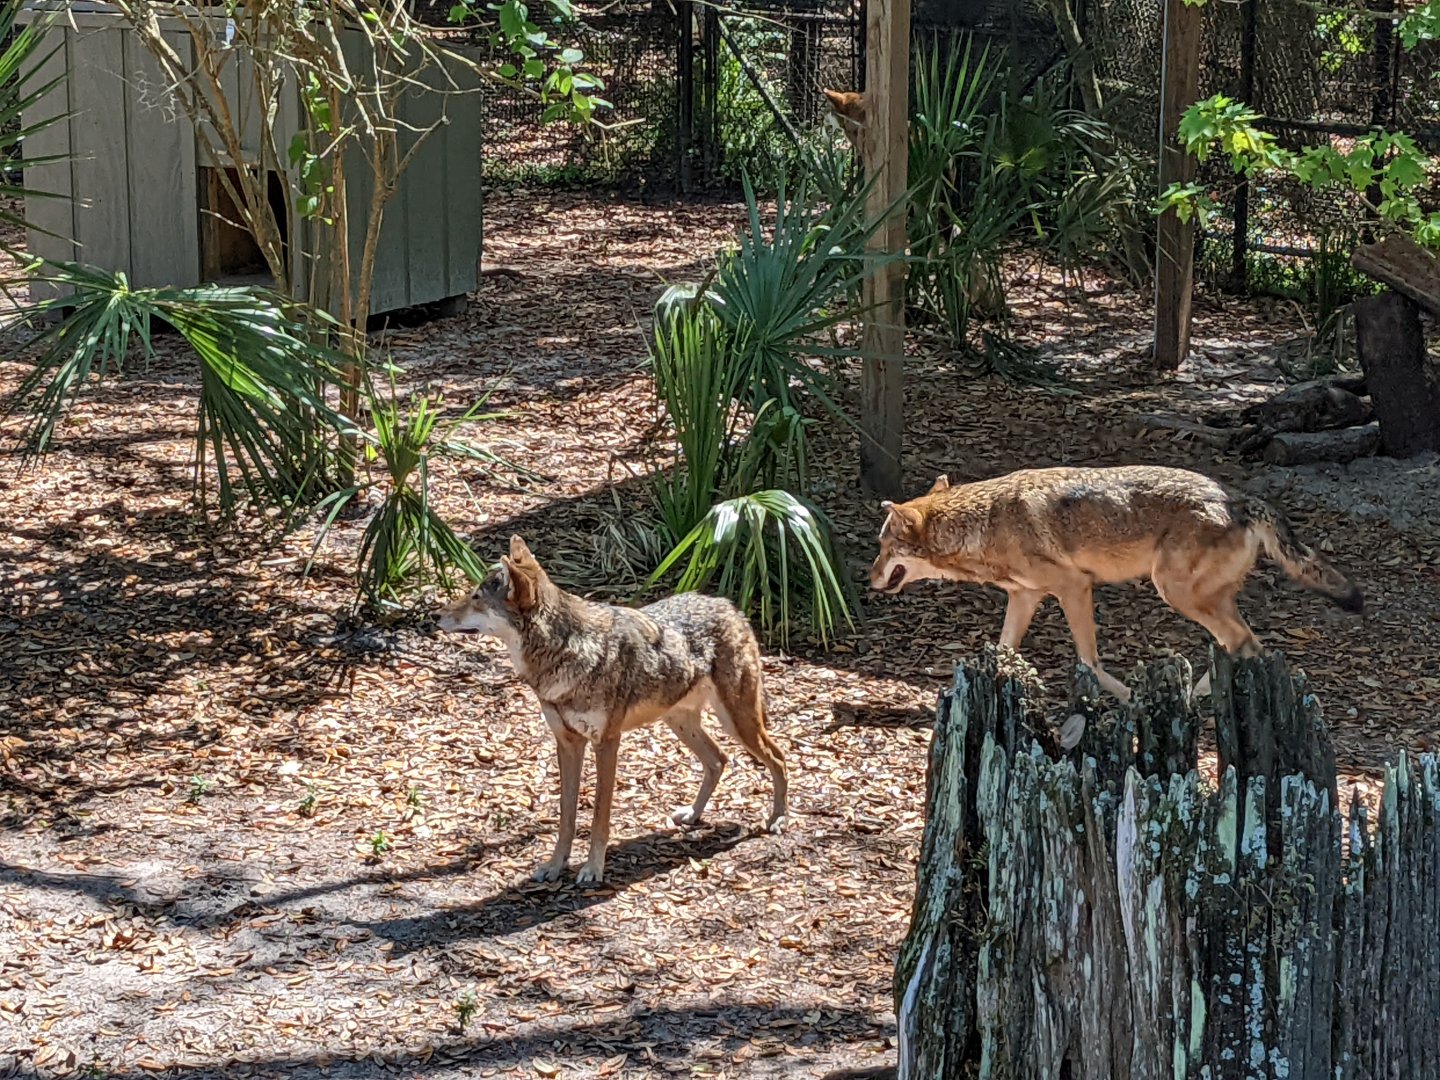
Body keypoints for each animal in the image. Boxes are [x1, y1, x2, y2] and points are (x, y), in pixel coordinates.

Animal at [436, 536, 788, 885]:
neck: (566, 652)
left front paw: (593, 869)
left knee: (778, 758)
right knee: (718, 759)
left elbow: (598, 817)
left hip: (738, 723)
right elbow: (566, 816)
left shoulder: (606, 743)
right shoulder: (567, 744)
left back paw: (777, 819)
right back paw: (693, 815)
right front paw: (555, 865)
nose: (437, 616)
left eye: (476, 597)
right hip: (681, 723)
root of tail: (730, 606)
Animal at [869, 465, 1363, 702]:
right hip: (1202, 598)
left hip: (1176, 593)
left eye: (883, 547)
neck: (985, 522)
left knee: (1239, 641)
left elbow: (1090, 664)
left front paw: (1127, 697)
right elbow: (1004, 649)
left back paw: (1195, 697)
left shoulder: (1072, 588)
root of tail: (1238, 498)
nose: (868, 578)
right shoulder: (1026, 596)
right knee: (1248, 644)